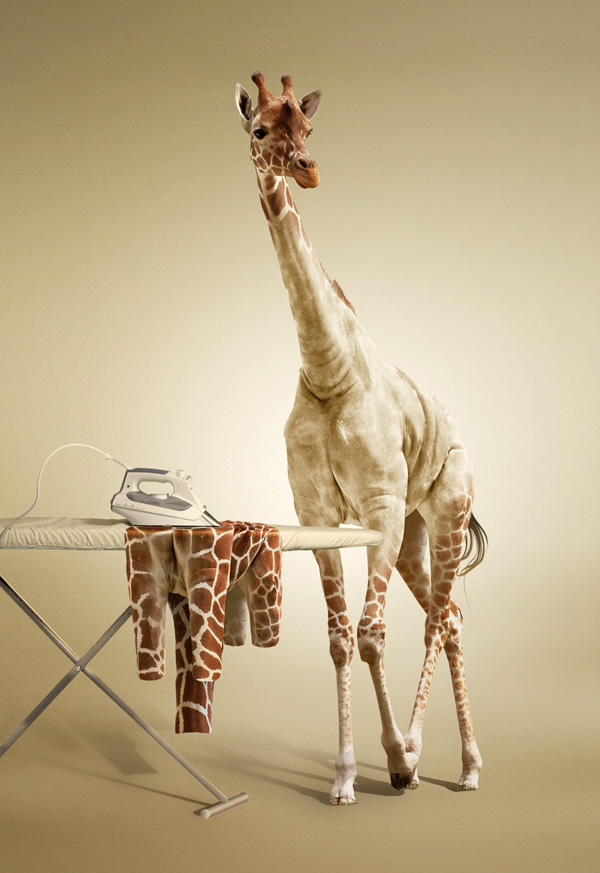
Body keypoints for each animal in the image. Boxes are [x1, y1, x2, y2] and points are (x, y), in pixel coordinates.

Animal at [235, 72, 487, 804]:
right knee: (450, 616)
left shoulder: (379, 506)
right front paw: (346, 776)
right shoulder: (317, 514)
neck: (329, 370)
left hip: (445, 510)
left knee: (438, 618)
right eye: (259, 129)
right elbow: (341, 638)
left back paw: (441, 758)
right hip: (417, 531)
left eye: (310, 128)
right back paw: (464, 764)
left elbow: (373, 634)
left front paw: (399, 758)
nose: (307, 169)